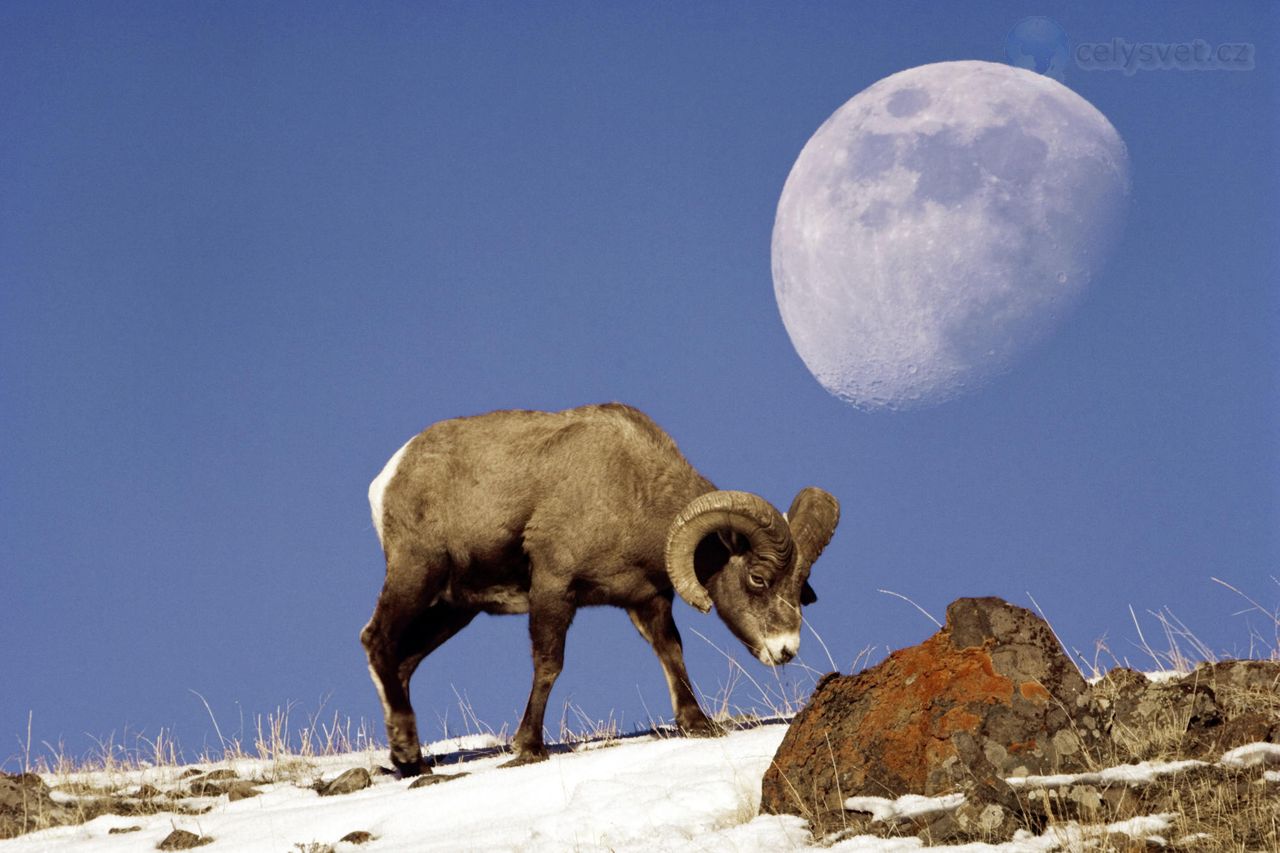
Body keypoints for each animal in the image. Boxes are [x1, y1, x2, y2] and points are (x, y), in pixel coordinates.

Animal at [360, 402, 839, 773]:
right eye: (757, 578)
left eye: (800, 586)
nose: (785, 650)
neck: (631, 489)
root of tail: (389, 476)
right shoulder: (554, 588)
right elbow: (549, 665)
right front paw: (529, 747)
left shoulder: (647, 601)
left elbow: (671, 653)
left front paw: (697, 724)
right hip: (416, 574)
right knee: (377, 640)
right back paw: (409, 757)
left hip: (454, 608)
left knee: (403, 663)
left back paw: (409, 760)